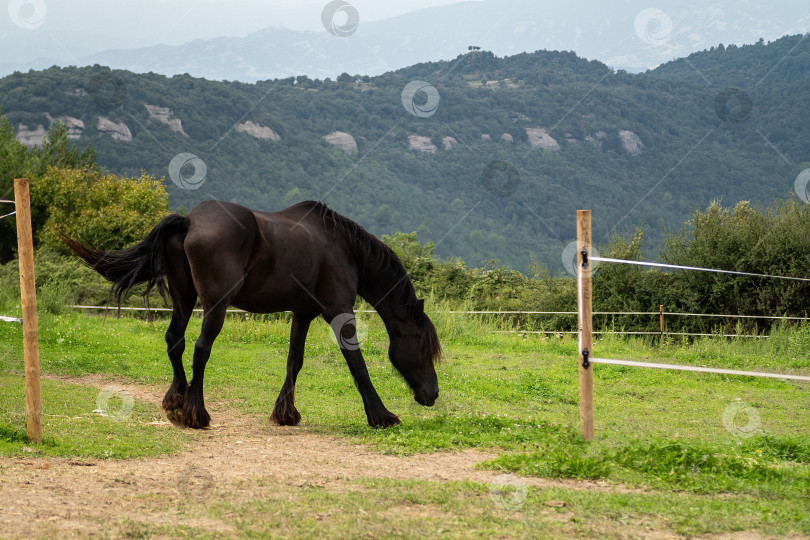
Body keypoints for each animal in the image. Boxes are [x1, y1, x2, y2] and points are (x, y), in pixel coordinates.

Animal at [61, 200, 442, 428]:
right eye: (425, 350)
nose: (433, 394)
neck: (341, 247)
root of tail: (190, 221)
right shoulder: (338, 312)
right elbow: (358, 365)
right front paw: (381, 415)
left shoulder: (302, 314)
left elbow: (294, 361)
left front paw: (286, 413)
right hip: (215, 305)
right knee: (200, 349)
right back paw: (197, 413)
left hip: (184, 298)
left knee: (174, 341)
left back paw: (176, 402)